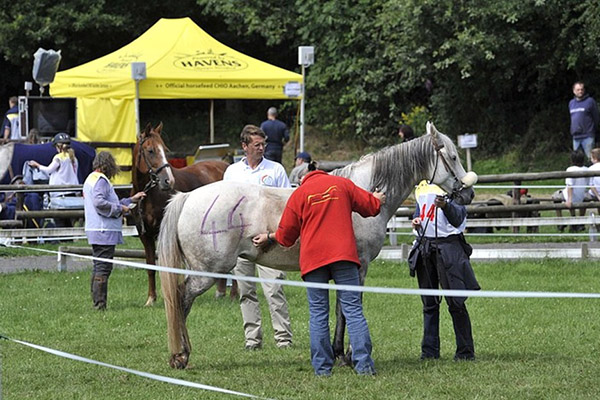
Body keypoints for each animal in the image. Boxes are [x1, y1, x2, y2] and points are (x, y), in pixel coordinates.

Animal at [134, 122, 232, 306]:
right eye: (150, 150)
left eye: (165, 149)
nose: (168, 180)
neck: (150, 195)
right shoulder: (145, 236)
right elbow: (150, 267)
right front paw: (151, 299)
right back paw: (221, 293)